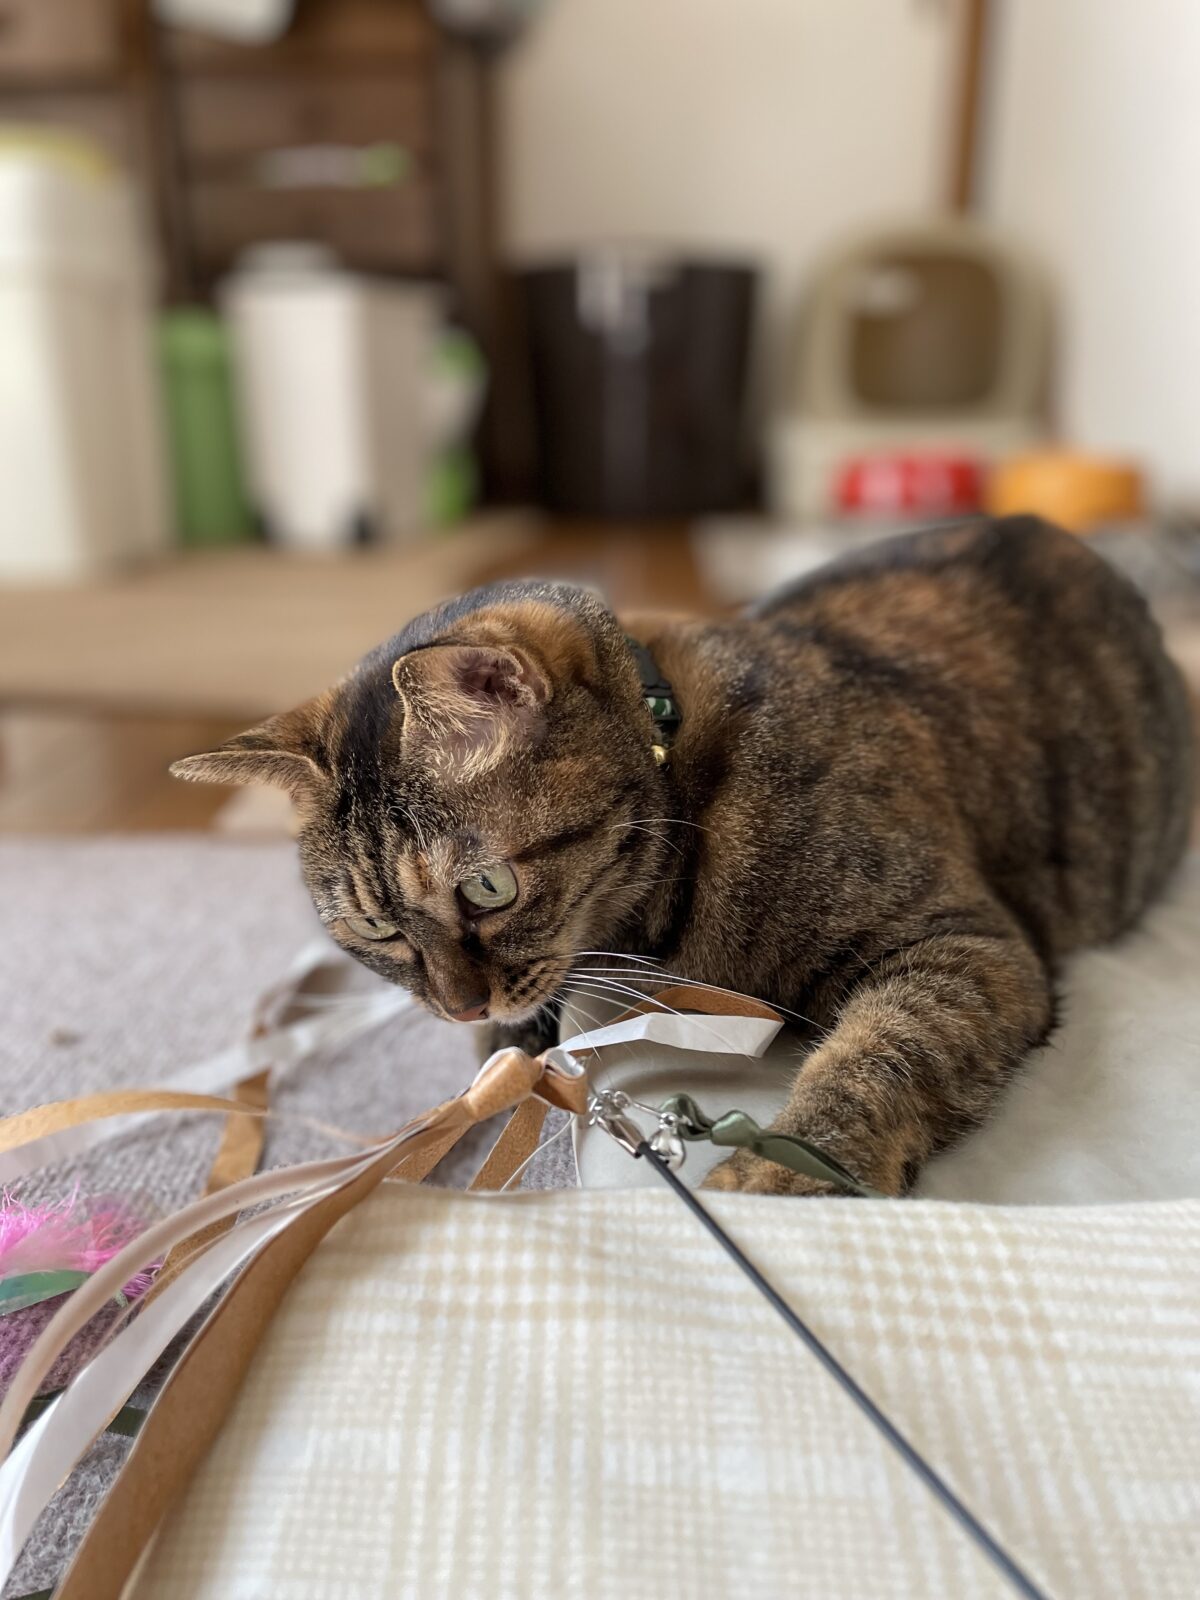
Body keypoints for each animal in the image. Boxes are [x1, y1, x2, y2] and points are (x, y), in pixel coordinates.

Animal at [172, 516, 1194, 1195]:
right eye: (376, 929)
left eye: (488, 888)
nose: (457, 1003)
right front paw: (490, 1056)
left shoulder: (965, 947)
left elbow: (877, 1061)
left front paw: (778, 1176)